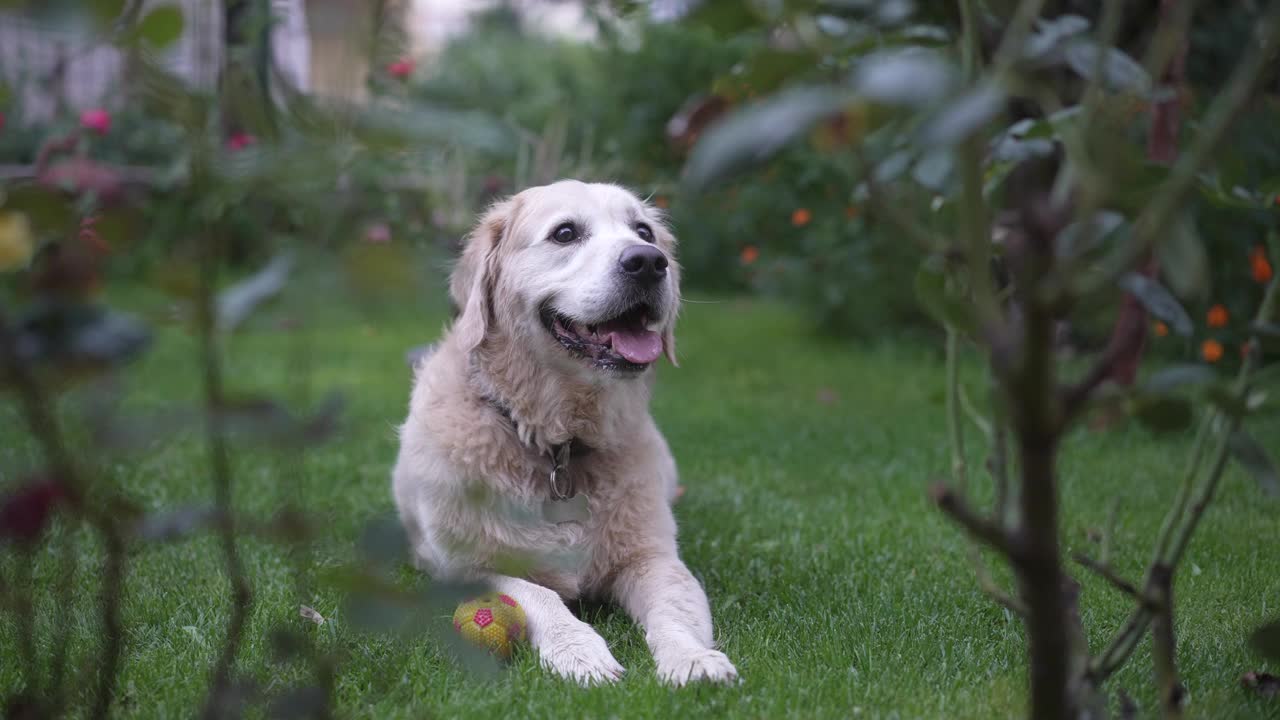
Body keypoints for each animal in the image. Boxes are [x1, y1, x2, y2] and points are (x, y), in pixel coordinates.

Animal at [394, 179, 742, 681]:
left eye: (644, 231)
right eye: (565, 233)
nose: (648, 262)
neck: (558, 444)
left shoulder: (653, 558)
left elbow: (673, 608)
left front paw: (692, 659)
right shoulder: (463, 568)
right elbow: (537, 594)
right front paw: (580, 651)